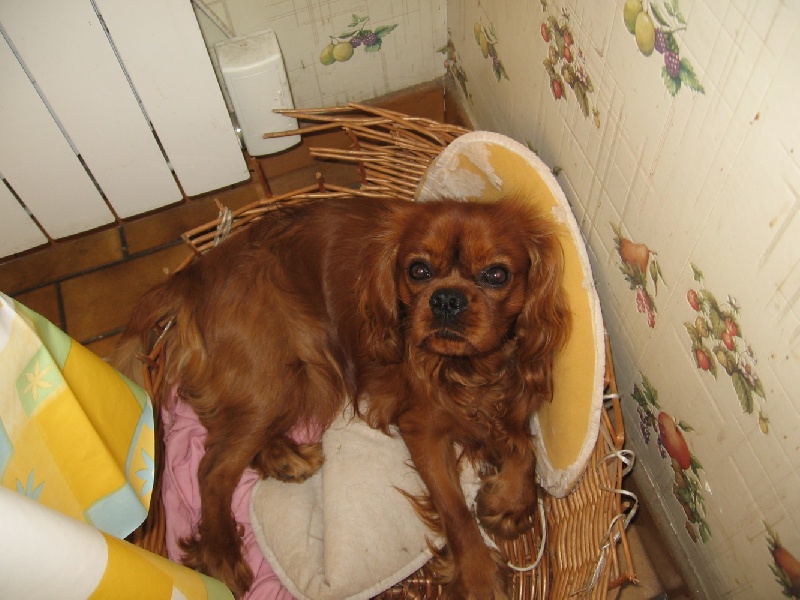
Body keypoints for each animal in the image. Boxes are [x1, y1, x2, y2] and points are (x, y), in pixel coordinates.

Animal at [114, 195, 570, 598]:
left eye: (496, 275)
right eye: (418, 270)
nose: (447, 298)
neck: (469, 369)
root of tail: (193, 274)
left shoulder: (514, 403)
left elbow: (525, 446)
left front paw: (509, 501)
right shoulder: (421, 427)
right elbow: (456, 512)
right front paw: (478, 578)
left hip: (291, 380)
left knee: (222, 432)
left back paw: (284, 457)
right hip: (282, 373)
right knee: (213, 467)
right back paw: (221, 555)